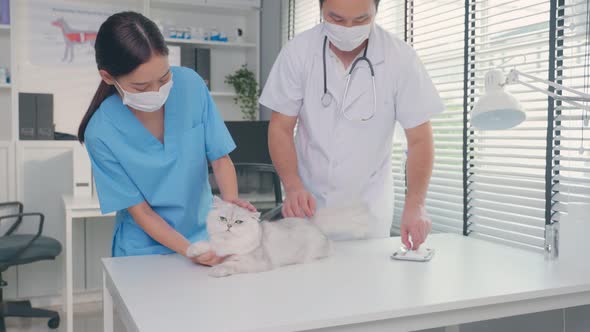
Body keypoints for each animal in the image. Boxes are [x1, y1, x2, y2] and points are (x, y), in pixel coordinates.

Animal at [187, 197, 330, 278]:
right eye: (222, 219)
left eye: (238, 222)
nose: (229, 226)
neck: (228, 244)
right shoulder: (217, 246)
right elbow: (207, 244)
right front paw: (192, 250)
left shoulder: (257, 262)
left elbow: (231, 264)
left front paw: (217, 269)